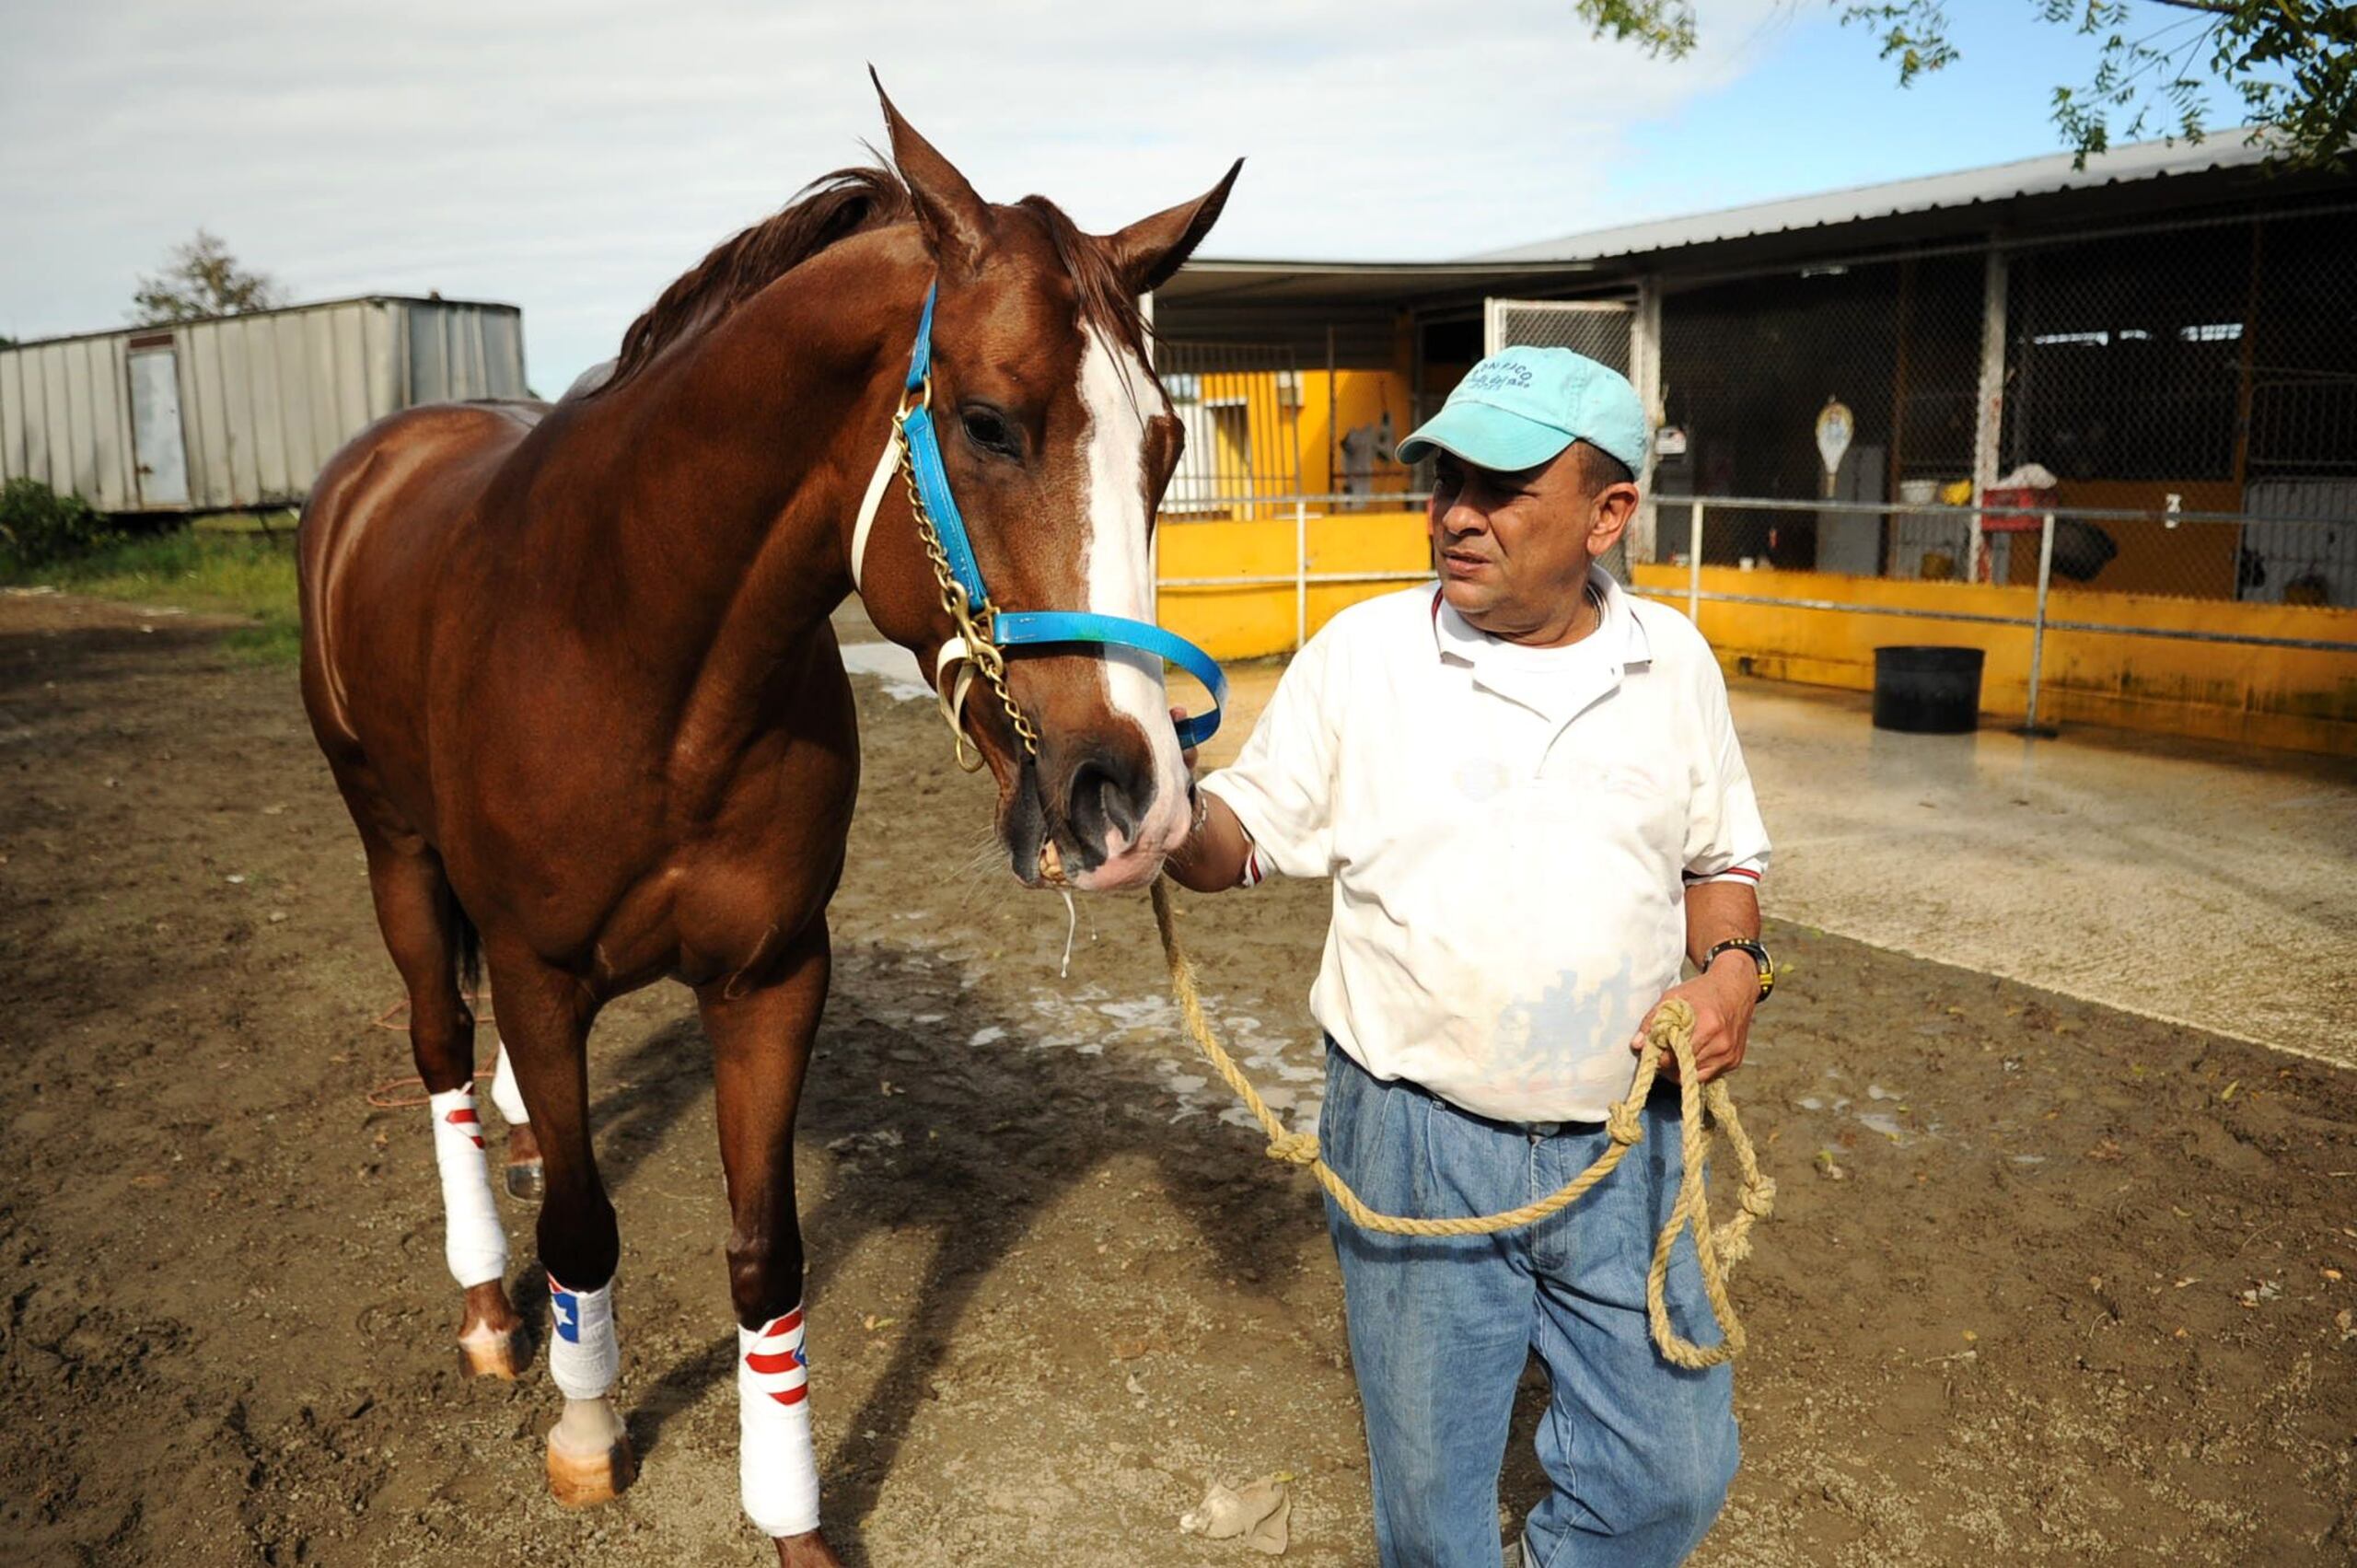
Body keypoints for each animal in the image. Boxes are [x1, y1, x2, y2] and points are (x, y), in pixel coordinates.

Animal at [299, 79, 1235, 1556]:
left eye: (1166, 444)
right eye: (988, 421)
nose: (1134, 797)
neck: (642, 652)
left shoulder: (772, 975)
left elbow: (765, 1255)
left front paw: (792, 1516)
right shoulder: (541, 970)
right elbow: (583, 1228)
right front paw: (586, 1427)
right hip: (391, 844)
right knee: (442, 1051)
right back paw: (490, 1307)